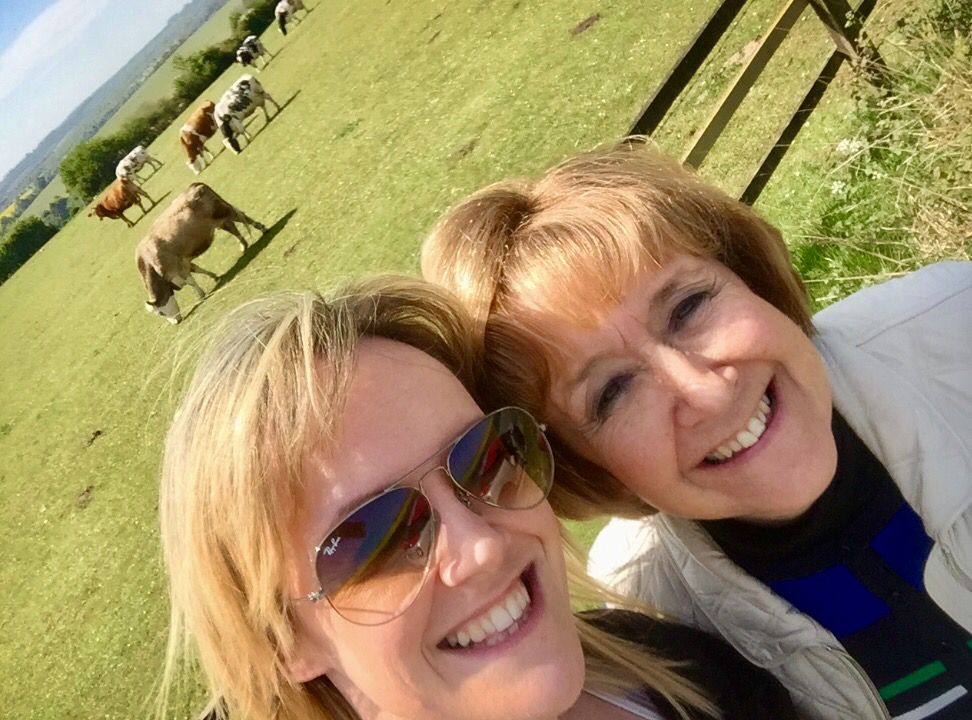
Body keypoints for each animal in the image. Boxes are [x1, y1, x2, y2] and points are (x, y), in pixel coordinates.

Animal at [136, 183, 266, 324]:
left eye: (161, 313)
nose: (175, 323)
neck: (150, 262)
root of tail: (195, 185)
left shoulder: (177, 267)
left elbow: (191, 281)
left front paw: (201, 295)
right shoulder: (184, 262)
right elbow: (198, 269)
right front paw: (214, 276)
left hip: (224, 210)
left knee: (241, 216)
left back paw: (262, 228)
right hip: (219, 220)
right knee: (232, 227)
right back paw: (244, 245)